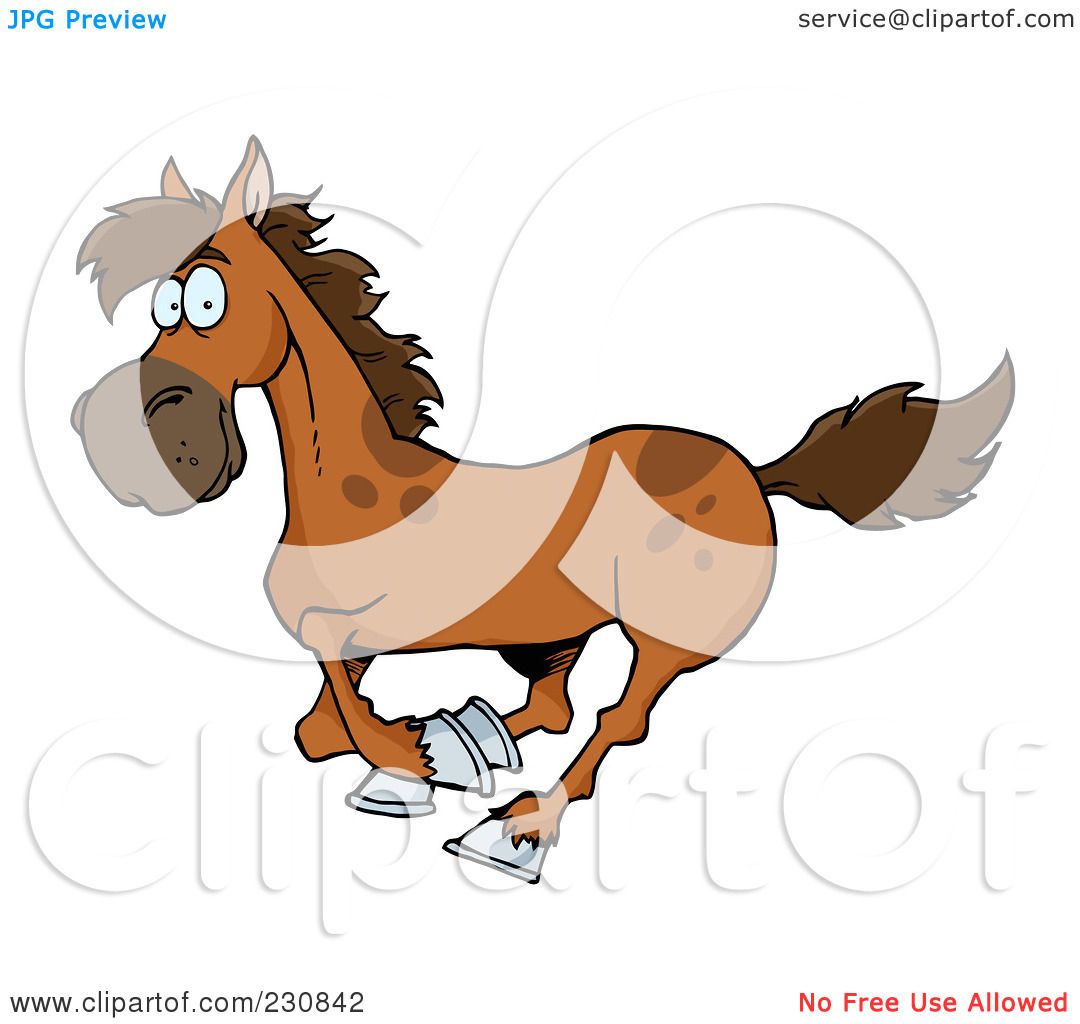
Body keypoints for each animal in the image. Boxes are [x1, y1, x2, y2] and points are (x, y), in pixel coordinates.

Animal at [71, 137, 1014, 883]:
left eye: (204, 301)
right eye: (163, 304)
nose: (129, 447)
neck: (353, 495)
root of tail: (753, 469)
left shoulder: (375, 623)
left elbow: (344, 702)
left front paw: (408, 767)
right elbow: (322, 721)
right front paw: (420, 753)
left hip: (665, 640)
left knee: (613, 724)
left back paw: (515, 831)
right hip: (560, 628)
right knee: (552, 706)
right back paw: (469, 737)